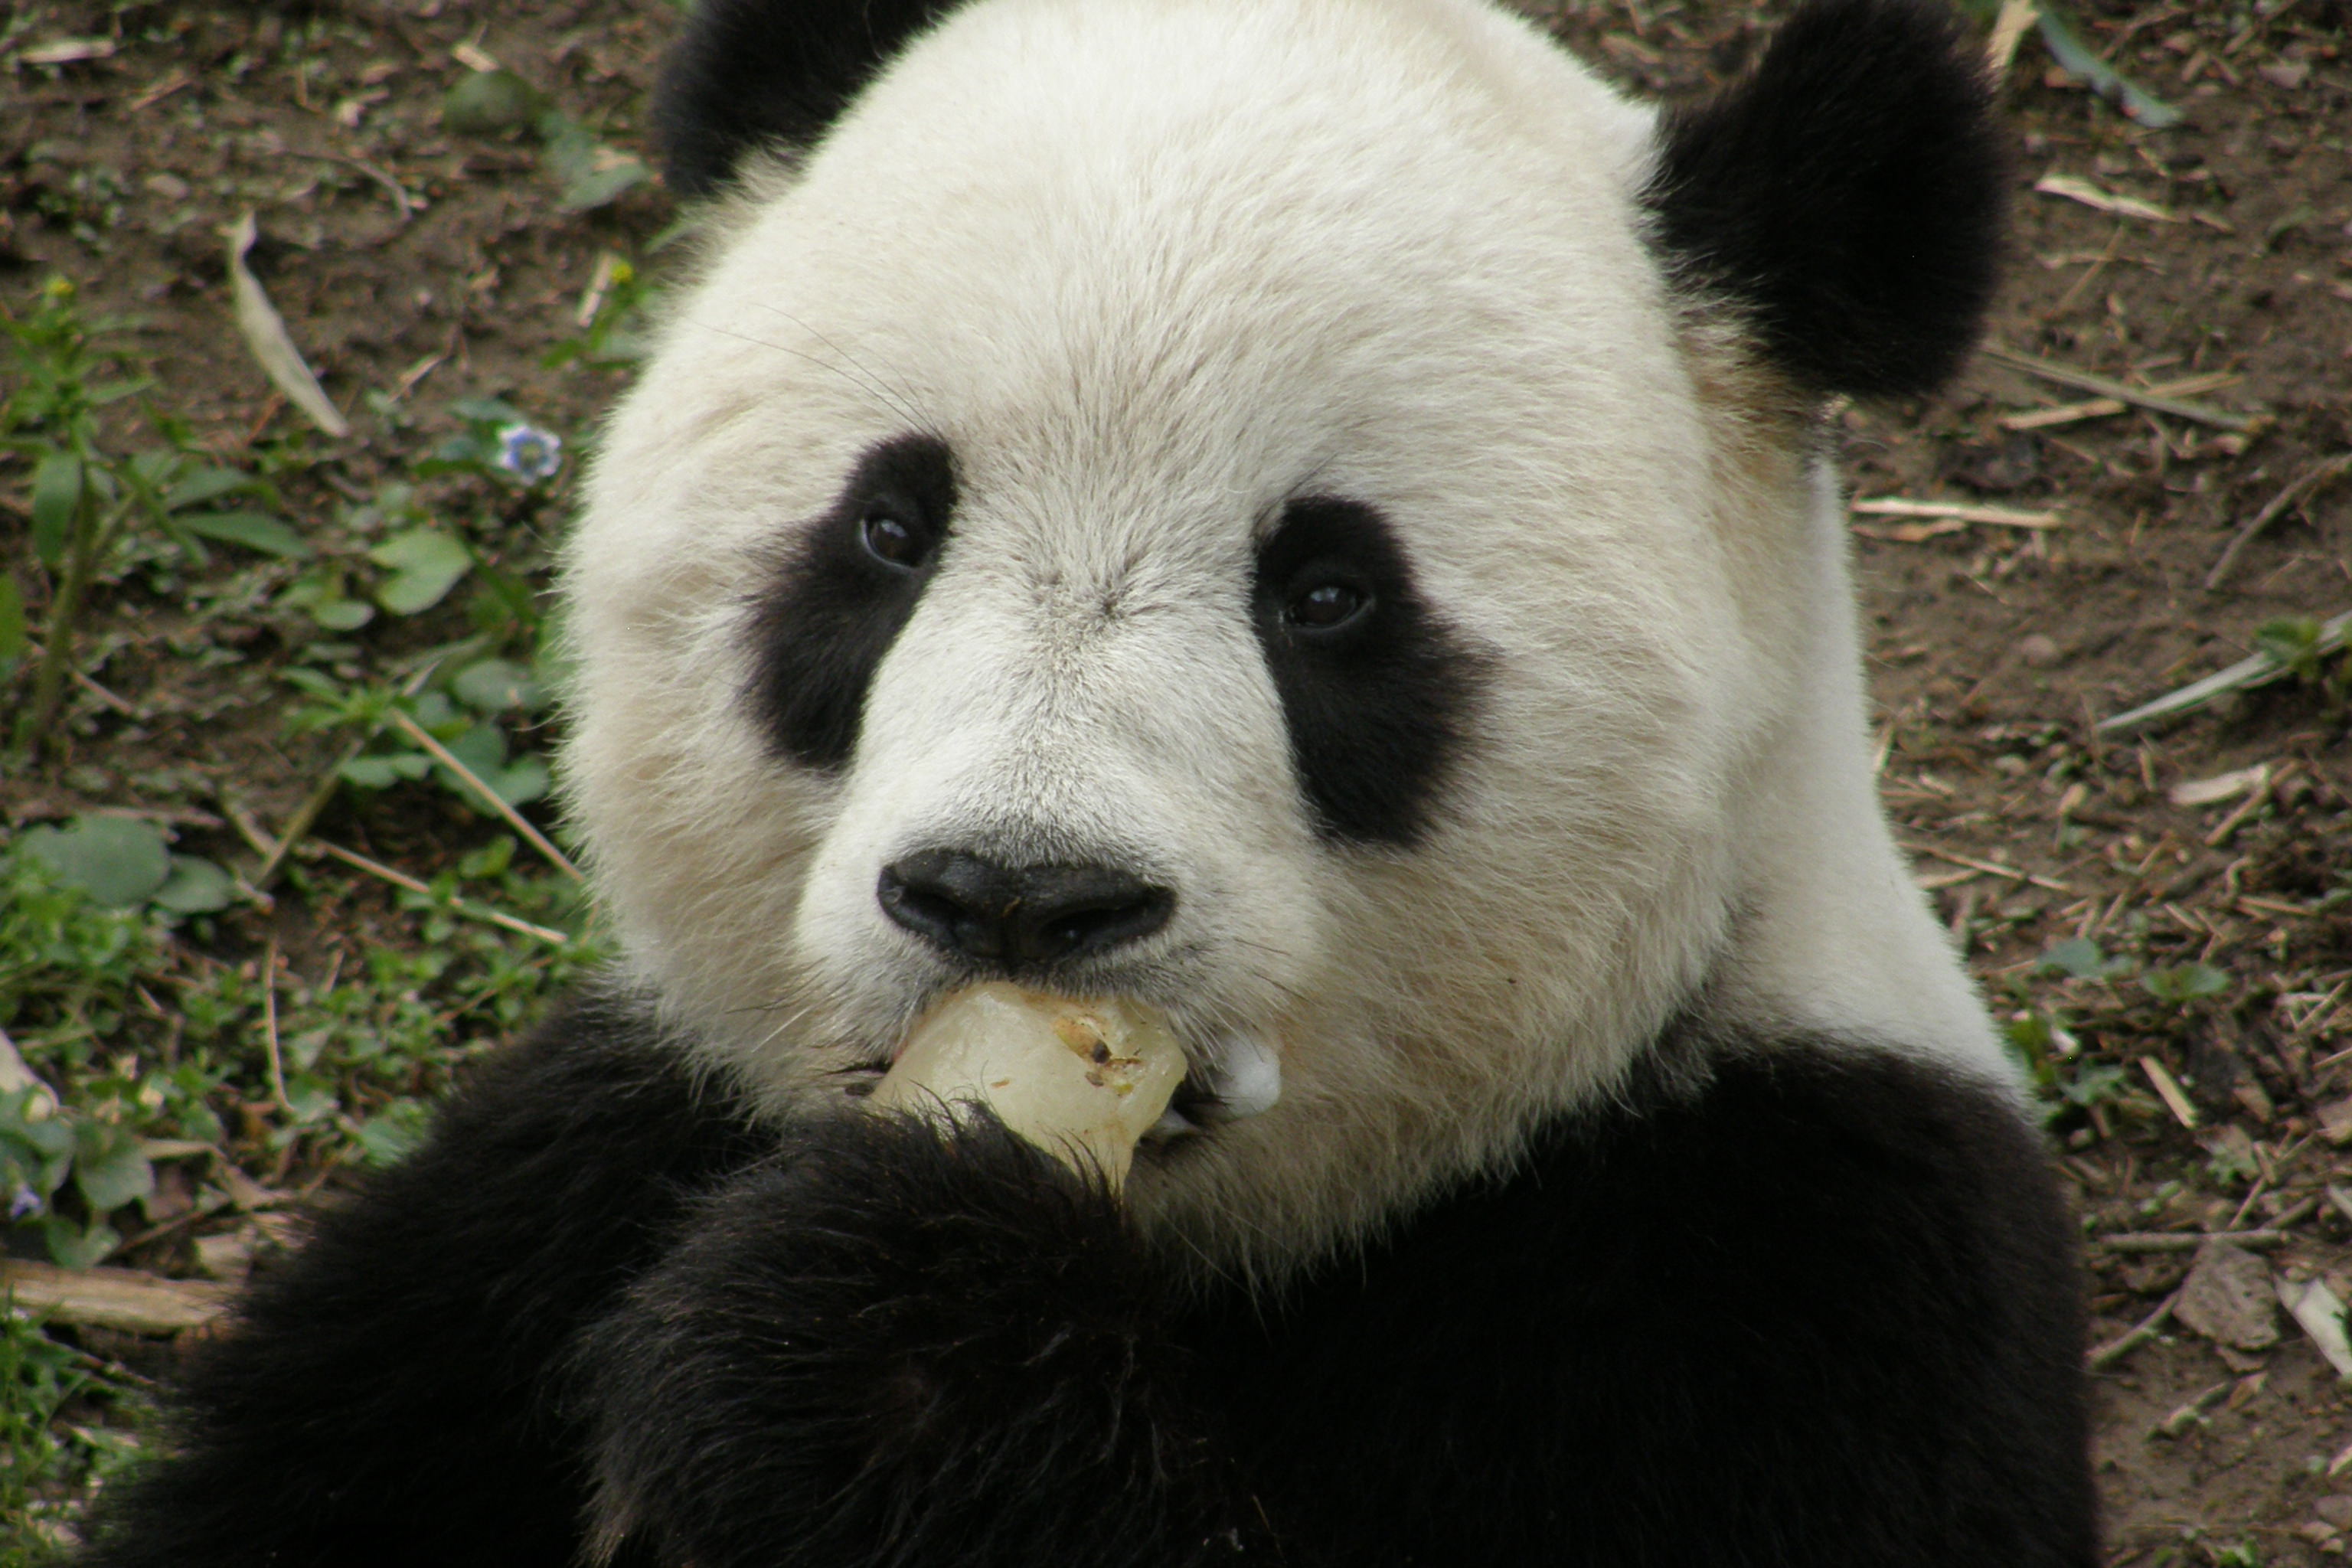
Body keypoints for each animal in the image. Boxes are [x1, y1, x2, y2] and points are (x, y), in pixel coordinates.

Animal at [88, 0, 2095, 1563]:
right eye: (888, 529)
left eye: (1329, 594)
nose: (1016, 894)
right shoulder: (568, 1186)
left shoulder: (1796, 1267)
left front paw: (874, 1331)